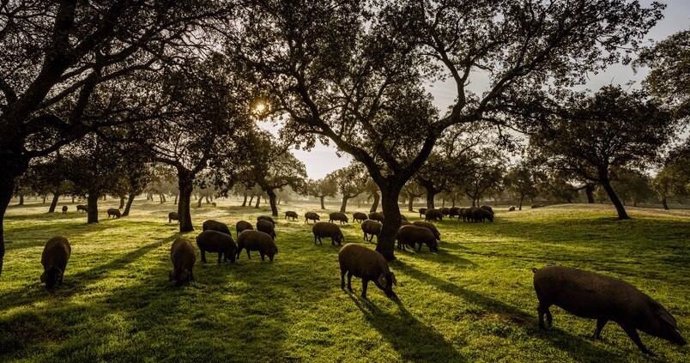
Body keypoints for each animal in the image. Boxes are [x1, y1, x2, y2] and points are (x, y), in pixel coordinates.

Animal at [532, 266, 684, 356]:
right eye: (666, 324)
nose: (684, 341)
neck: (641, 310)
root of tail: (537, 271)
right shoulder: (625, 321)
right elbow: (636, 337)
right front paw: (651, 354)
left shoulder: (605, 315)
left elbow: (599, 326)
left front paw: (595, 338)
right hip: (545, 296)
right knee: (540, 309)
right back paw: (543, 327)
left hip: (546, 298)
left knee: (543, 309)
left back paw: (549, 324)